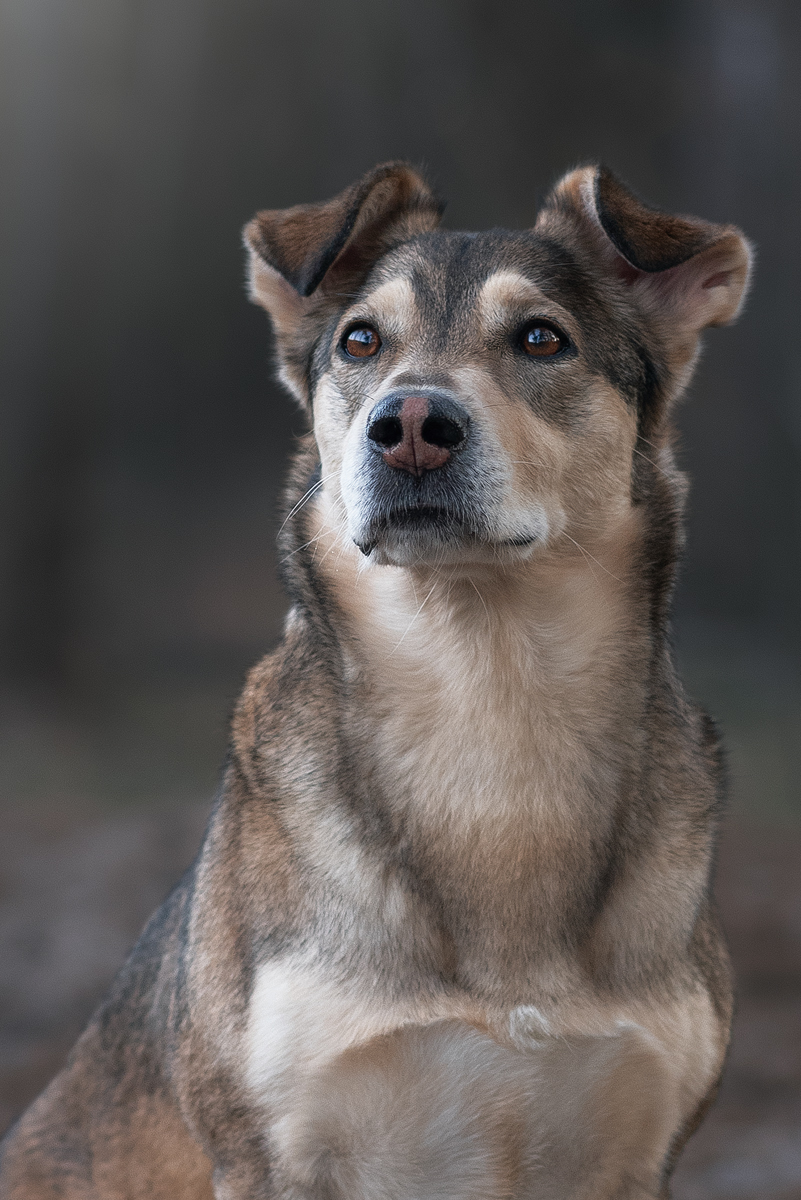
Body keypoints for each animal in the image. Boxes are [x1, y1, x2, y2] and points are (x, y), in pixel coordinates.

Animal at [0, 162, 753, 1200]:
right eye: (361, 341)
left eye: (541, 338)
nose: (411, 425)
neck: (486, 703)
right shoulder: (274, 1151)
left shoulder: (636, 1151)